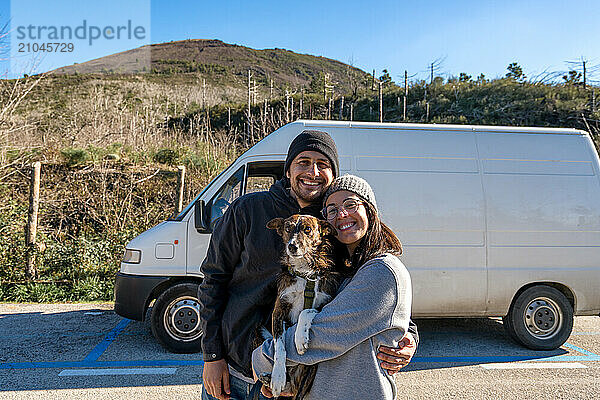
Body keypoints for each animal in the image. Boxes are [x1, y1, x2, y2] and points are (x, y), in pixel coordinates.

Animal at [260, 214, 344, 398]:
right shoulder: (278, 312)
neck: (304, 273)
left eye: (307, 229)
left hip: (309, 372)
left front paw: (300, 339)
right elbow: (279, 346)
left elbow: (305, 311)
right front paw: (277, 377)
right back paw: (269, 378)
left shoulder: (327, 304)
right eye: (288, 228)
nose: (292, 246)